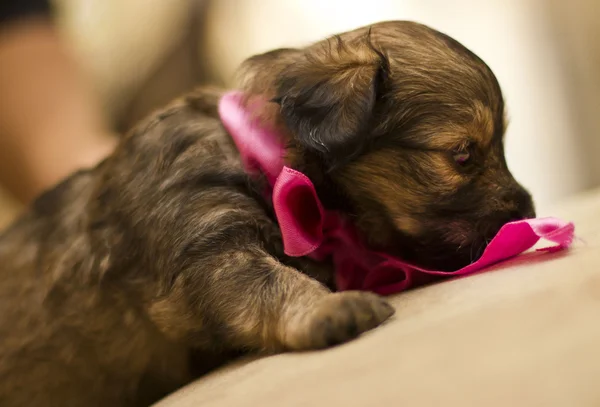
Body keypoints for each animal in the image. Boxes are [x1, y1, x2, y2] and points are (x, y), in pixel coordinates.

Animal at [0, 21, 536, 407]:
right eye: (462, 155)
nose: (527, 209)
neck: (267, 164)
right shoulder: (213, 249)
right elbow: (272, 282)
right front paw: (330, 309)